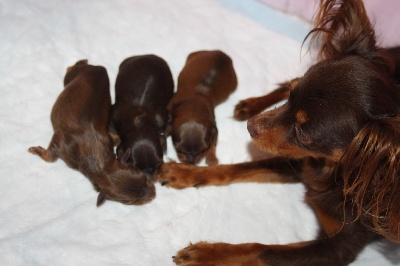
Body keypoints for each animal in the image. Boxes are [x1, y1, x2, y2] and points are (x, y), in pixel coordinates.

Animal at [28, 60, 155, 208]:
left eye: (144, 178)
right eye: (132, 201)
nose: (154, 193)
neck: (100, 163)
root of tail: (97, 67)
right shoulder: (62, 141)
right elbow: (51, 155)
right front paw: (37, 150)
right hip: (72, 76)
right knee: (73, 68)